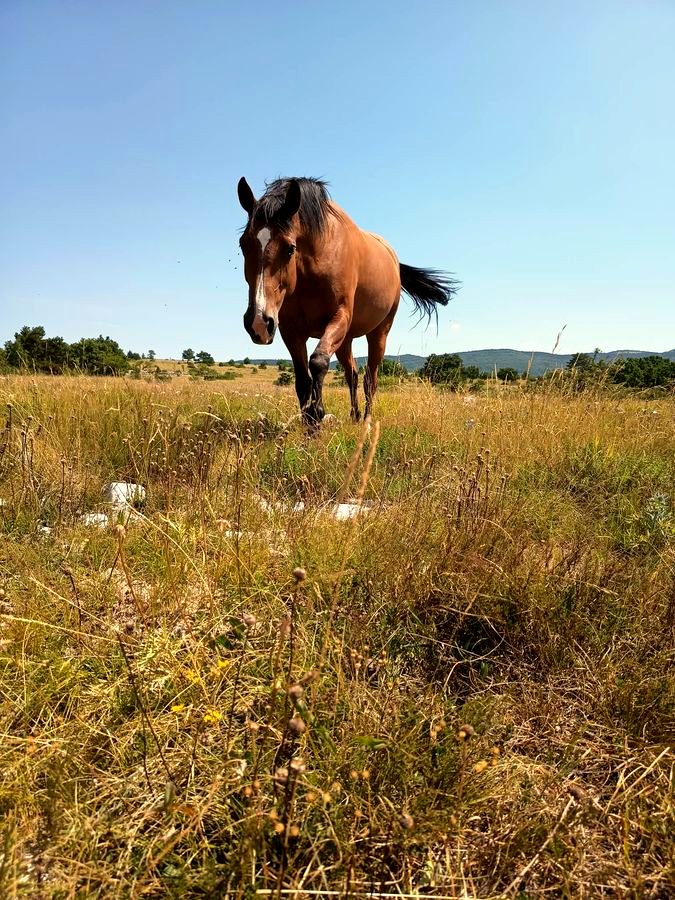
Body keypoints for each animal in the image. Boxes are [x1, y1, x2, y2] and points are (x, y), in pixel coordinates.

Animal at [237, 176, 458, 424]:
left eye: (290, 248)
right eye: (242, 244)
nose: (258, 322)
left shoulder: (338, 318)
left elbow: (319, 362)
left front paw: (317, 414)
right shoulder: (291, 331)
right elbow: (303, 380)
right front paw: (308, 423)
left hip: (379, 332)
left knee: (370, 379)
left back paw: (367, 422)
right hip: (345, 340)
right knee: (352, 374)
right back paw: (354, 417)